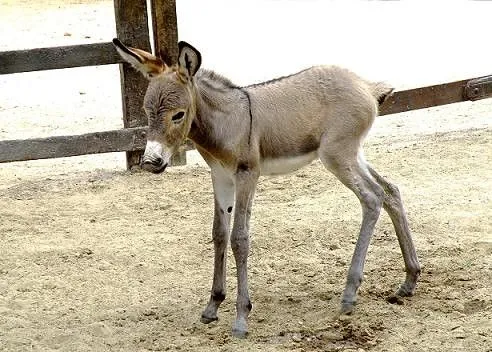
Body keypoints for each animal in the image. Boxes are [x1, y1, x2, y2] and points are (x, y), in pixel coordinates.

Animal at [113, 38, 420, 338]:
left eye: (178, 115)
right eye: (146, 111)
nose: (151, 162)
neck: (227, 121)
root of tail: (364, 84)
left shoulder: (247, 175)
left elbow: (239, 238)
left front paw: (240, 318)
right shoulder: (220, 177)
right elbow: (219, 234)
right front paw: (213, 306)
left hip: (337, 156)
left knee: (372, 197)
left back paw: (349, 293)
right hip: (353, 154)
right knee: (390, 191)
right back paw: (409, 279)